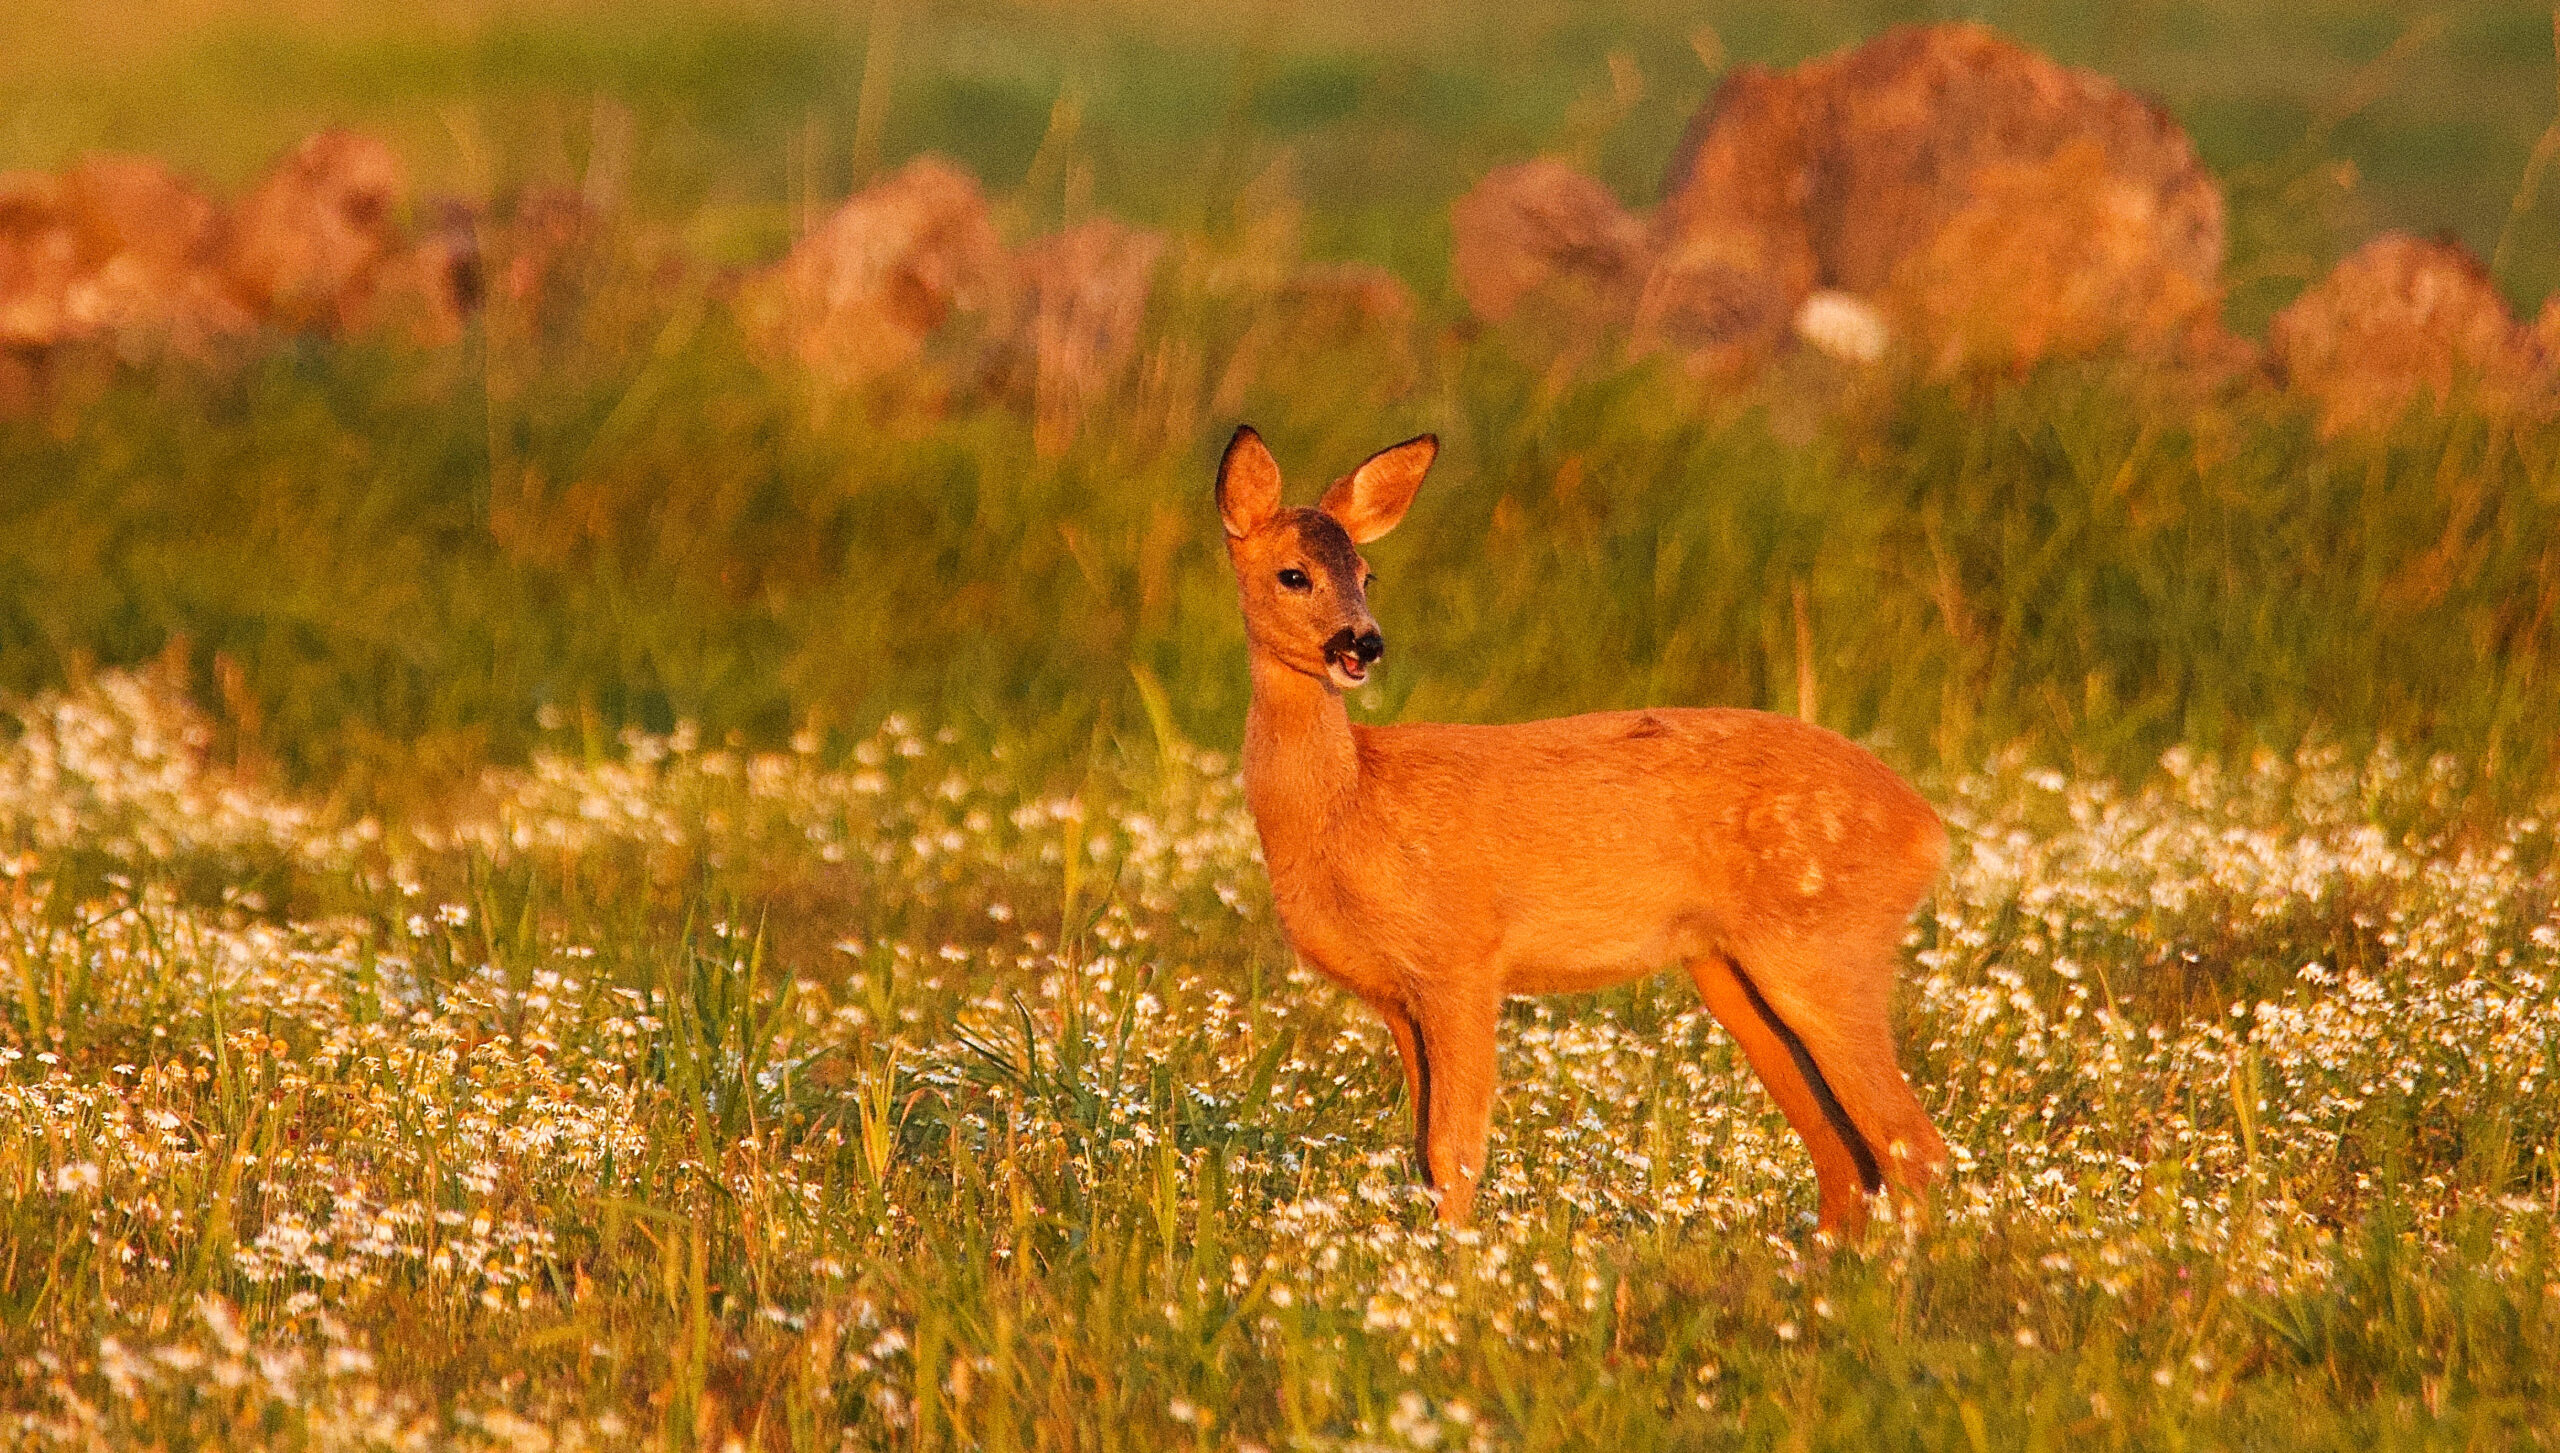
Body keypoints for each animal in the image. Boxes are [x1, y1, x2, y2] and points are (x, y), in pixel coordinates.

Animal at [1208, 424, 1945, 1233]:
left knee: (1911, 1144)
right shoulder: (1396, 994)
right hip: (1731, 969)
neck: (1346, 808)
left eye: (1368, 575)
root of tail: (1927, 828)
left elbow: (1452, 1149)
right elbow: (1422, 1150)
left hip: (1825, 944)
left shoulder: (1460, 956)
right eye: (1294, 574)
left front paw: (1454, 1258)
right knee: (1846, 1155)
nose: (1362, 642)